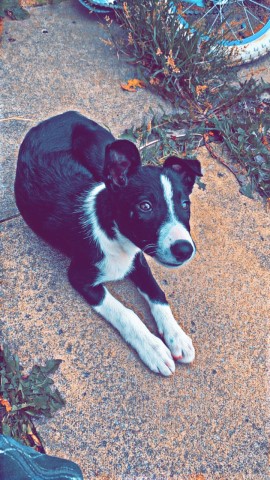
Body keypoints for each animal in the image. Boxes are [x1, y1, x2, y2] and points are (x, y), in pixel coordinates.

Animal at [14, 110, 200, 376]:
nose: (184, 250)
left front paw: (176, 336)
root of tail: (64, 113)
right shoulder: (80, 277)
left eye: (185, 204)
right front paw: (153, 347)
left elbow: (157, 293)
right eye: (145, 206)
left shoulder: (139, 258)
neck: (117, 238)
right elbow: (126, 313)